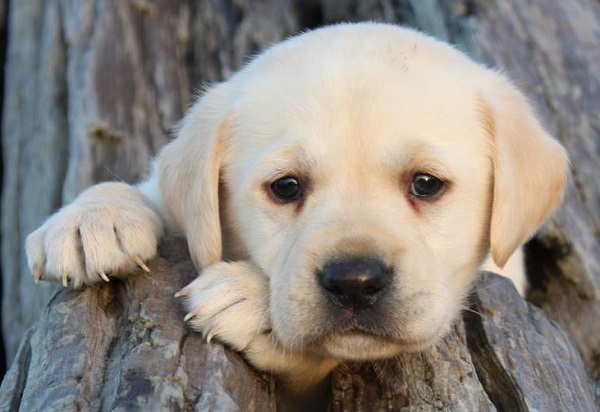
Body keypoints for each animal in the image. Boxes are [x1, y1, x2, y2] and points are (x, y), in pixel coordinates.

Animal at [24, 22, 568, 406]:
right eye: (286, 187)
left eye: (426, 184)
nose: (355, 282)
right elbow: (149, 190)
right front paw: (93, 218)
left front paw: (251, 300)